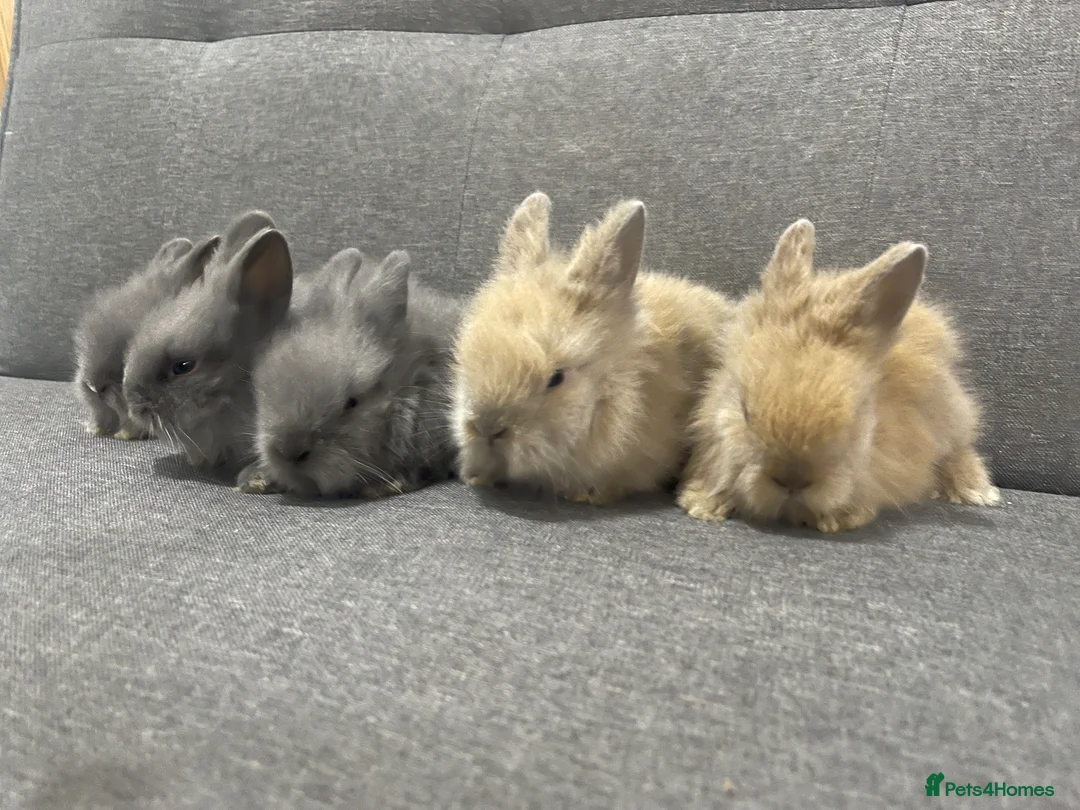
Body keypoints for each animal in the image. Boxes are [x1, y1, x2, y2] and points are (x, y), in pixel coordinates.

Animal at [677, 218, 1000, 533]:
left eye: (854, 418)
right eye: (745, 412)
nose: (792, 481)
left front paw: (837, 520)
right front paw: (703, 506)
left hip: (952, 417)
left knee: (958, 450)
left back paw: (977, 490)